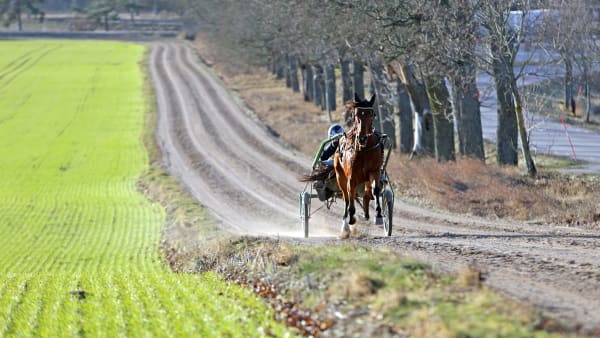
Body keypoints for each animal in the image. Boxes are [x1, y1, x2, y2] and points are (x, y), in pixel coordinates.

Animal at [332, 93, 384, 239]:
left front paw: (378, 214)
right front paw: (351, 218)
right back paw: (346, 226)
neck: (364, 149)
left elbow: (375, 190)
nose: (362, 138)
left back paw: (366, 212)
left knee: (367, 192)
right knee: (346, 197)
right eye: (356, 115)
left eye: (371, 114)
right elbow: (351, 193)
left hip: (366, 178)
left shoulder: (375, 171)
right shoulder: (351, 176)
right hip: (340, 176)